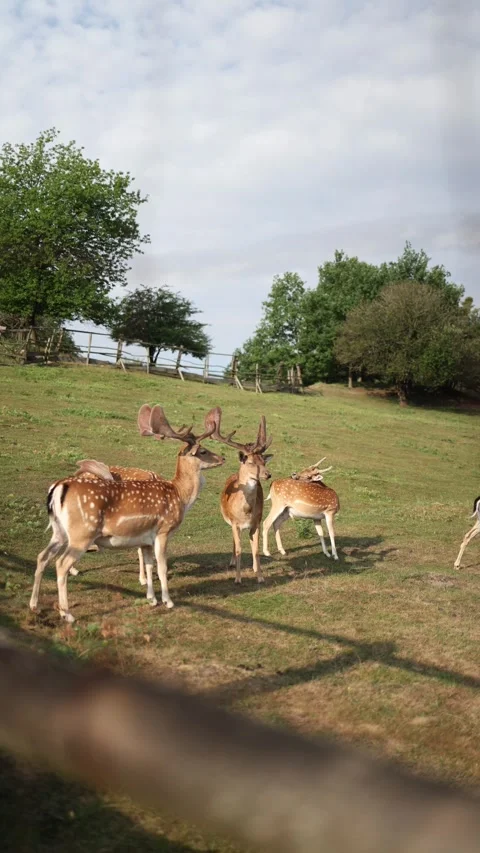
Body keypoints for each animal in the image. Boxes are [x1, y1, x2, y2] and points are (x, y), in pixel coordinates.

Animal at [29, 405, 225, 622]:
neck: (180, 495)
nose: (222, 458)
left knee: (42, 556)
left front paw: (151, 598)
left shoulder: (145, 539)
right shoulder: (163, 531)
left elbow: (149, 565)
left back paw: (34, 605)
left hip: (59, 531)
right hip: (82, 532)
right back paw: (67, 614)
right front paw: (168, 601)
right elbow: (162, 566)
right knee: (61, 564)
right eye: (203, 451)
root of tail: (58, 487)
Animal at [209, 408, 273, 584]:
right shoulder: (235, 523)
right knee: (235, 541)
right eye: (250, 462)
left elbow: (256, 549)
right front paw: (238, 579)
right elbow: (238, 549)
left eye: (263, 461)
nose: (268, 474)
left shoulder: (256, 523)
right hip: (231, 522)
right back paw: (231, 563)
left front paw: (260, 577)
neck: (245, 511)